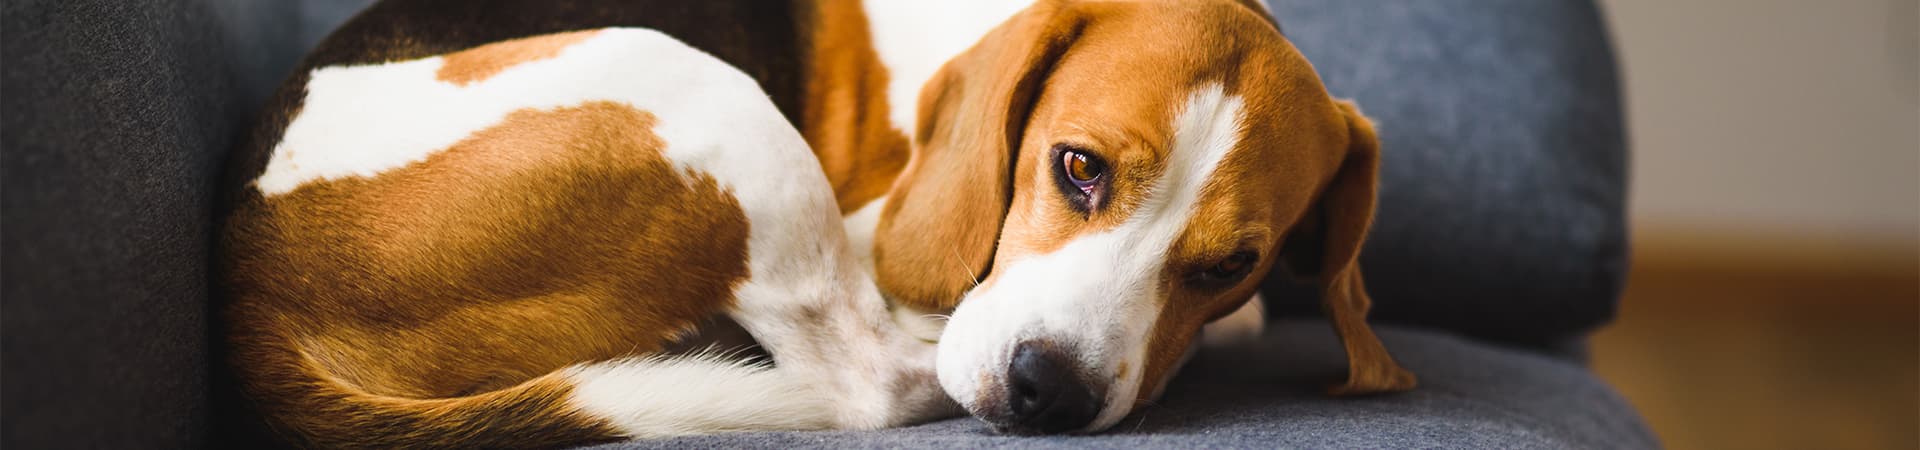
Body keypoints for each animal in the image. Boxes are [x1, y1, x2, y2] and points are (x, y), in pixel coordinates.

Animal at [220, 0, 1413, 444]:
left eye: (1233, 264)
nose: (1051, 393)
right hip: (707, 97)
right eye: (1078, 168)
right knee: (868, 385)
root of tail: (249, 290)